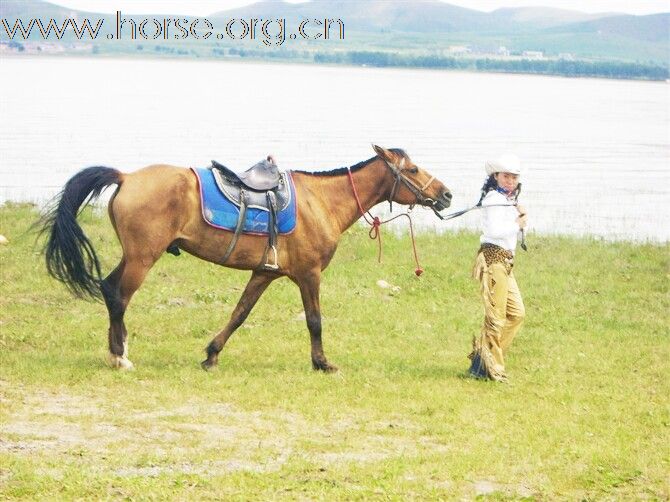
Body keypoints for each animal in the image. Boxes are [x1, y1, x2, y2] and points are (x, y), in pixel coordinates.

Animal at [40, 143, 452, 370]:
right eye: (413, 169)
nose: (445, 194)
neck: (321, 201)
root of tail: (127, 177)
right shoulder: (309, 274)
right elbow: (315, 321)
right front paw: (321, 363)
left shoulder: (264, 273)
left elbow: (239, 314)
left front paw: (211, 354)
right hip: (143, 258)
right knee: (117, 296)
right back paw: (119, 356)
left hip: (134, 256)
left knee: (110, 290)